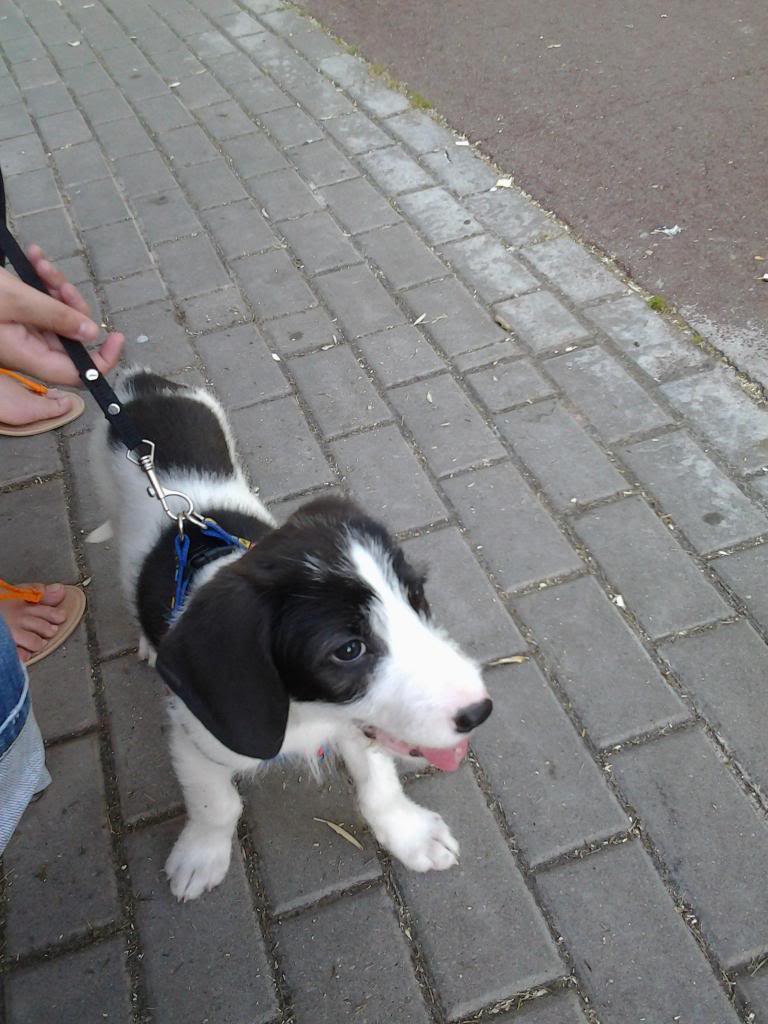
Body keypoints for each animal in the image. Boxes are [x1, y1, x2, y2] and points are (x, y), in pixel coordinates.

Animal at [91, 372, 493, 901]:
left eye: (416, 598)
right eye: (348, 650)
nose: (480, 711)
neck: (306, 714)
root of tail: (141, 383)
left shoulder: (356, 725)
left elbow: (379, 786)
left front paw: (409, 833)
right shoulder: (193, 737)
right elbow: (216, 804)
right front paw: (201, 855)